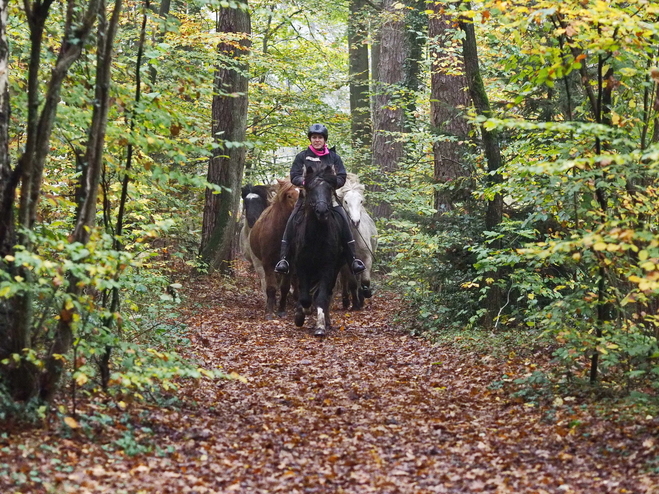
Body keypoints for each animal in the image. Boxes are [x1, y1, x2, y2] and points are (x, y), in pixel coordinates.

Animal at [250, 179, 300, 318]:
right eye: (289, 196)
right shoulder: (268, 263)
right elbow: (271, 287)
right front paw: (269, 311)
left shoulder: (290, 264)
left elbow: (285, 287)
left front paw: (282, 310)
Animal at [292, 162, 346, 336]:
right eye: (310, 188)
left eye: (329, 188)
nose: (322, 211)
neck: (316, 237)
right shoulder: (301, 266)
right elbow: (304, 297)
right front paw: (300, 314)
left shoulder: (328, 267)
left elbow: (320, 297)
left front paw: (320, 326)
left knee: (326, 294)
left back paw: (326, 321)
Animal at [338, 172, 378, 306]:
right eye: (345, 201)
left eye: (360, 201)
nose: (355, 222)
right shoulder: (347, 263)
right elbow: (352, 283)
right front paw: (355, 302)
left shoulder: (367, 257)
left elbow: (365, 280)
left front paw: (365, 294)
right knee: (344, 279)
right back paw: (346, 300)